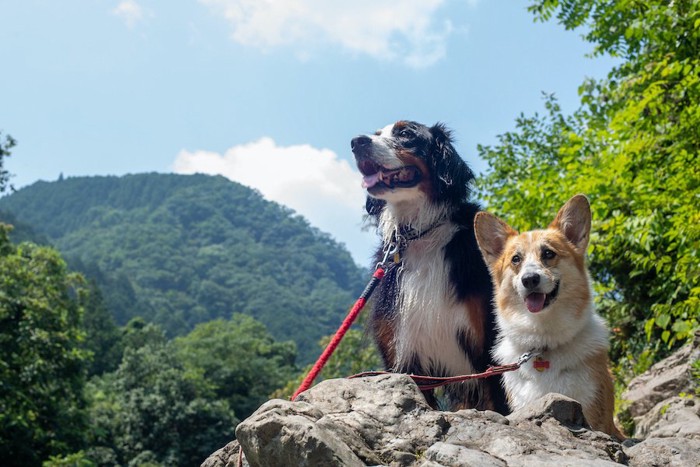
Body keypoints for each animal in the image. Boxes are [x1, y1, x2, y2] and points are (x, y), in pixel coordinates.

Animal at [352, 119, 506, 414]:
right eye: (376, 134)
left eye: (405, 133)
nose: (356, 142)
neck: (421, 234)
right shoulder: (402, 350)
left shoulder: (489, 348)